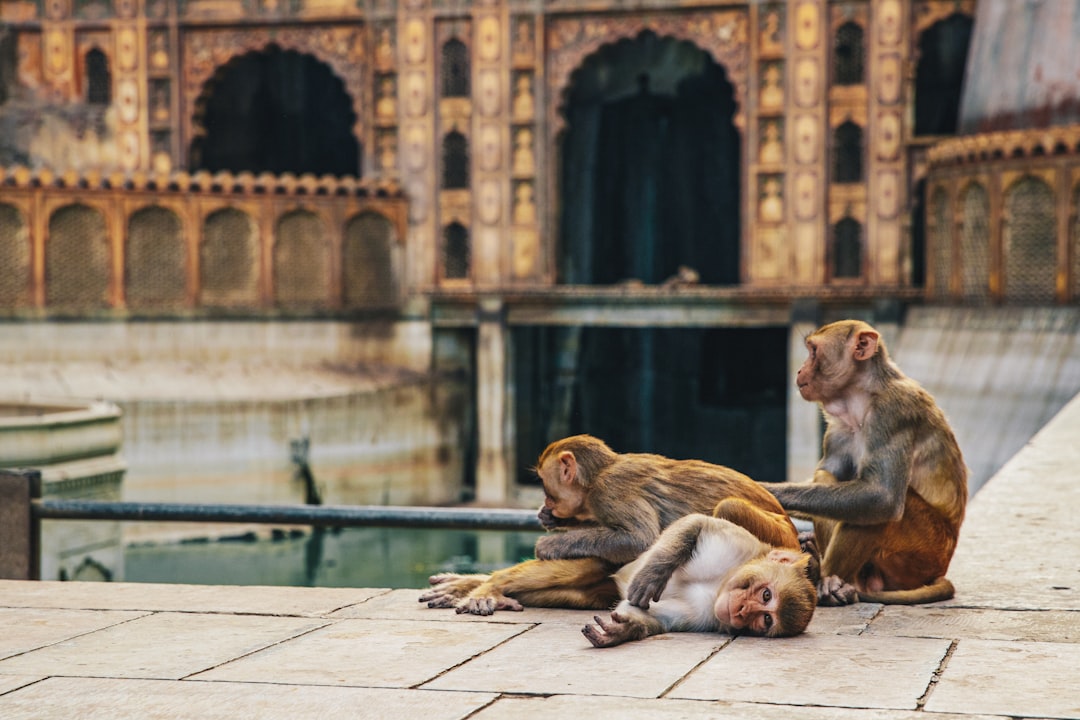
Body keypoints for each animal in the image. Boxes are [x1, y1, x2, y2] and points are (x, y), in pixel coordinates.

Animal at [583, 511, 816, 647]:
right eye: (766, 595)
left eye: (766, 619)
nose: (742, 611)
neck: (720, 585)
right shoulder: (739, 545)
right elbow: (697, 523)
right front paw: (653, 574)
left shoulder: (706, 617)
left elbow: (654, 616)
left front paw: (623, 630)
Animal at [760, 317, 972, 604]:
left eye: (813, 351)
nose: (800, 370)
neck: (861, 399)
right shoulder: (837, 432)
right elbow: (826, 474)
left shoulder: (892, 413)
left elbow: (881, 497)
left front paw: (767, 490)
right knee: (827, 478)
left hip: (925, 553)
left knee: (879, 509)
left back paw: (825, 580)